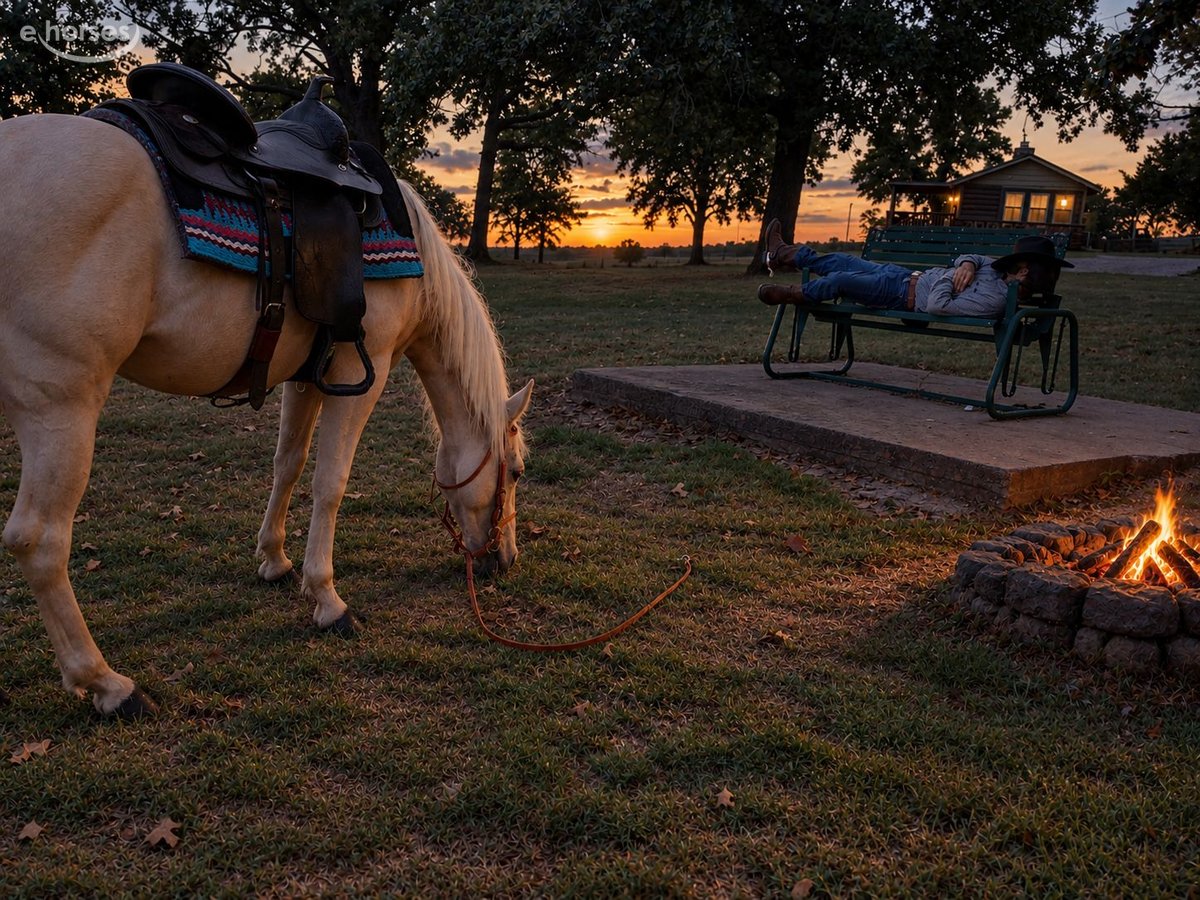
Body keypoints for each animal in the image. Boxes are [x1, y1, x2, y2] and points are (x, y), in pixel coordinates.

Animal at [0, 113, 533, 717]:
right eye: (517, 472)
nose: (505, 559)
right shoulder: (360, 372)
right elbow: (330, 482)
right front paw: (327, 600)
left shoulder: (308, 374)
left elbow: (289, 465)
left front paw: (275, 560)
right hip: (61, 407)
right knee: (38, 540)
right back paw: (108, 684)